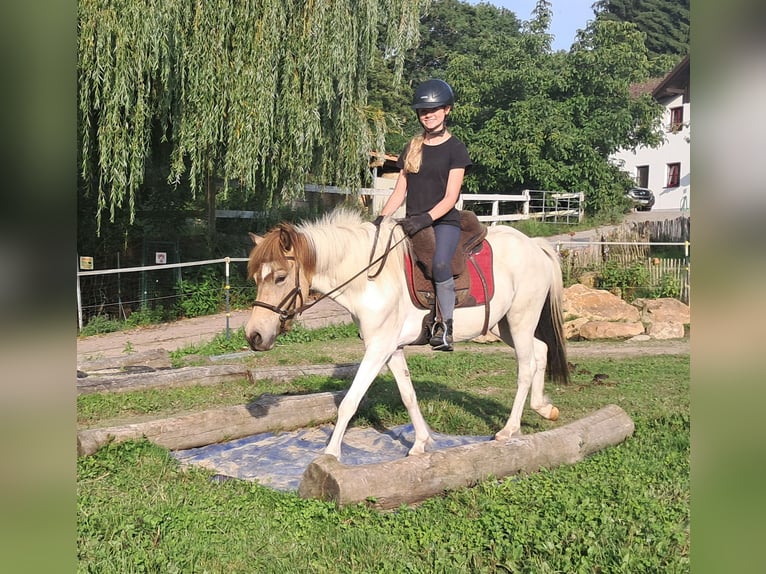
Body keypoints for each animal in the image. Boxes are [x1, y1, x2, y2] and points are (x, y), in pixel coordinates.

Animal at [244, 208, 569, 461]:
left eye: (280, 277)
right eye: (257, 277)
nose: (254, 336)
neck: (370, 279)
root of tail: (534, 245)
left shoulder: (378, 348)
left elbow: (349, 401)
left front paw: (330, 454)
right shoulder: (391, 348)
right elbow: (408, 395)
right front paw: (421, 443)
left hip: (520, 319)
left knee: (525, 368)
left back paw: (509, 429)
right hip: (503, 325)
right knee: (541, 350)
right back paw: (544, 408)